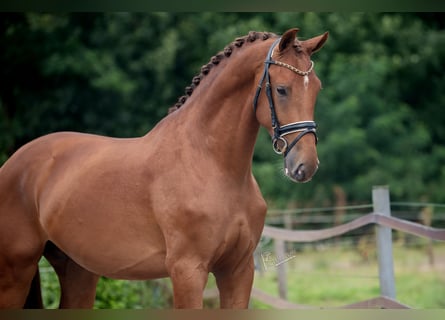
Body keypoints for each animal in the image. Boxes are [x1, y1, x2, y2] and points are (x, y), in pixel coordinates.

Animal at [0, 28, 326, 308]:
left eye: (317, 89)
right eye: (282, 89)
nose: (305, 166)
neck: (212, 166)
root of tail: (14, 164)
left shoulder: (238, 271)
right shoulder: (187, 271)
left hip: (78, 270)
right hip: (16, 272)